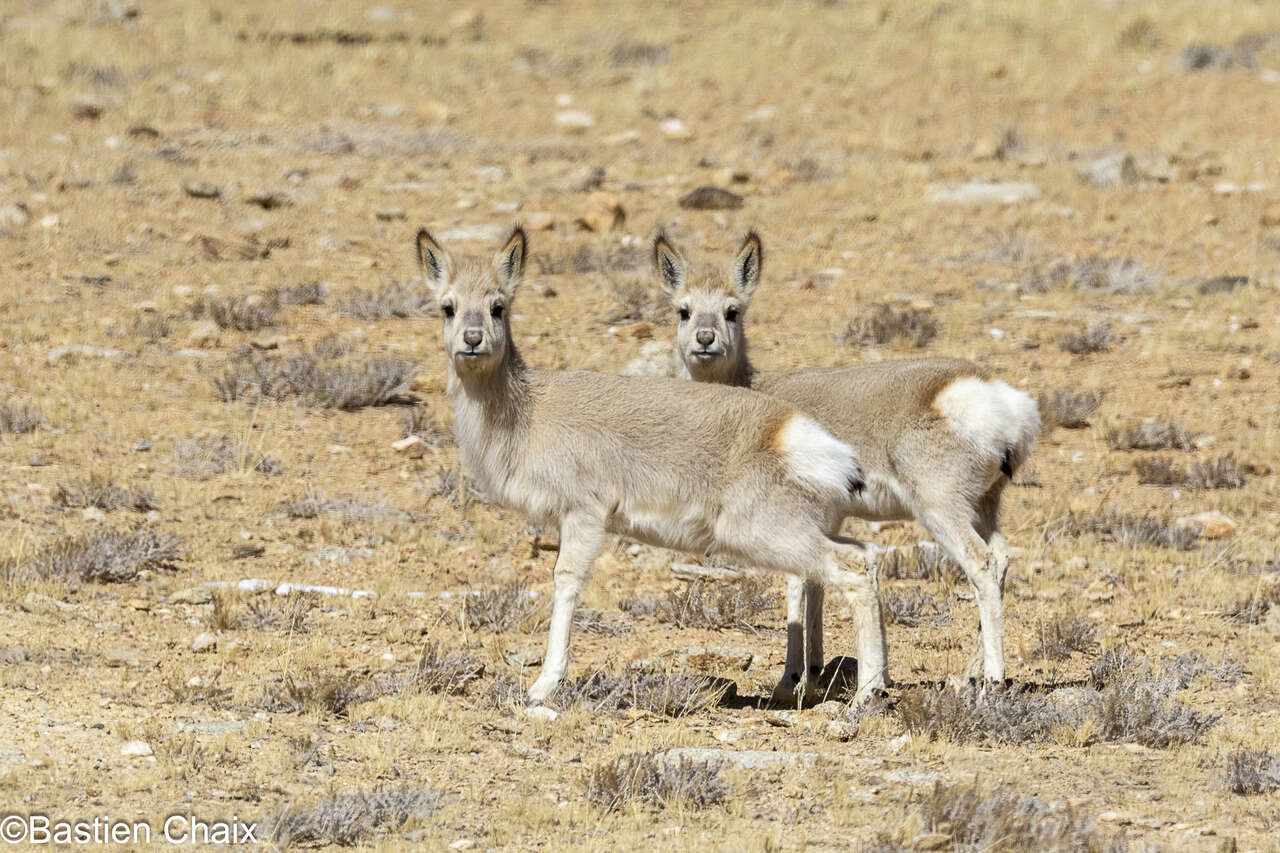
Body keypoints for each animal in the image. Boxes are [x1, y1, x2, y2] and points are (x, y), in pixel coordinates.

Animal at [416, 225, 888, 705]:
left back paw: (867, 694)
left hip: (768, 534)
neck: (529, 411)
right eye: (448, 307)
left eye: (498, 305)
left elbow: (565, 581)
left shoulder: (583, 517)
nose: (472, 339)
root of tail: (790, 428)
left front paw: (543, 685)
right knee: (865, 556)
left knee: (851, 569)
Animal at [654, 231, 1040, 701]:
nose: (706, 339)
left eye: (733, 310)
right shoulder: (827, 519)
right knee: (1000, 559)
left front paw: (790, 681)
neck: (754, 390)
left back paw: (992, 680)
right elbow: (815, 583)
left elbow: (797, 583)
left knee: (981, 566)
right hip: (985, 508)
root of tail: (996, 397)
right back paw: (968, 673)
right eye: (684, 309)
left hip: (941, 512)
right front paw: (813, 671)